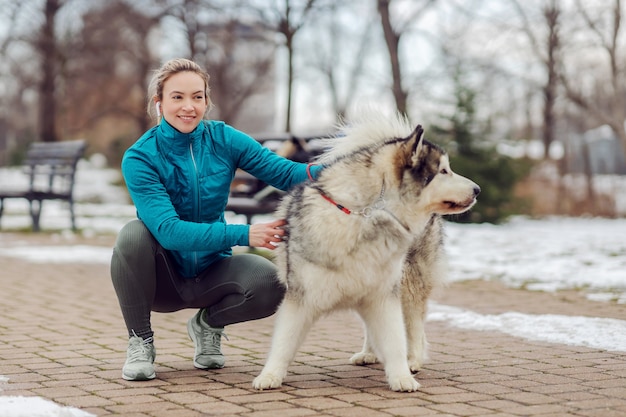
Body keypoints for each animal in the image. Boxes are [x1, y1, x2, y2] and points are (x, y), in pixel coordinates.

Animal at [251, 110, 476, 390]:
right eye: (444, 171)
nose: (478, 190)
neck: (364, 215)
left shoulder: (385, 293)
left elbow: (395, 339)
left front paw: (401, 376)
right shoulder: (301, 297)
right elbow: (284, 342)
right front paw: (270, 375)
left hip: (408, 284)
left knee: (414, 325)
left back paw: (413, 359)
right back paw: (369, 353)